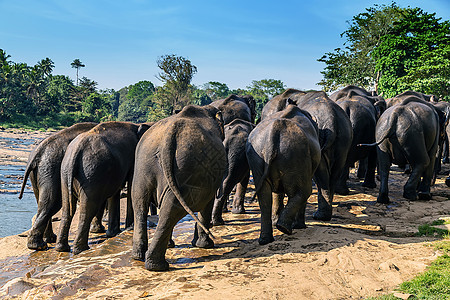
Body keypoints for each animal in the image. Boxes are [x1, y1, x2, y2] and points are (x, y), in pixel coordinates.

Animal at [19, 122, 97, 251]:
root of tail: (38, 152)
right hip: (51, 169)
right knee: (52, 203)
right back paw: (39, 245)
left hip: (39, 172)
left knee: (43, 202)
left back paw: (47, 240)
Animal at [55, 120, 151, 254]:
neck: (137, 126)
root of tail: (77, 149)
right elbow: (131, 185)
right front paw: (128, 228)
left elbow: (116, 191)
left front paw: (114, 233)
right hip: (92, 172)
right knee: (88, 208)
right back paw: (81, 249)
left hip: (65, 173)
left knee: (68, 208)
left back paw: (62, 248)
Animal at [131, 104, 229, 270]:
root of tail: (169, 135)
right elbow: (207, 203)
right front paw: (205, 246)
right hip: (188, 169)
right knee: (173, 208)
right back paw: (157, 266)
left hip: (143, 166)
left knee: (140, 204)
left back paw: (139, 257)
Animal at [246, 102, 320, 244]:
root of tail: (273, 133)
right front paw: (299, 226)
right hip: (295, 155)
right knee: (304, 191)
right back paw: (285, 228)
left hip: (259, 157)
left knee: (264, 196)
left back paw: (265, 239)